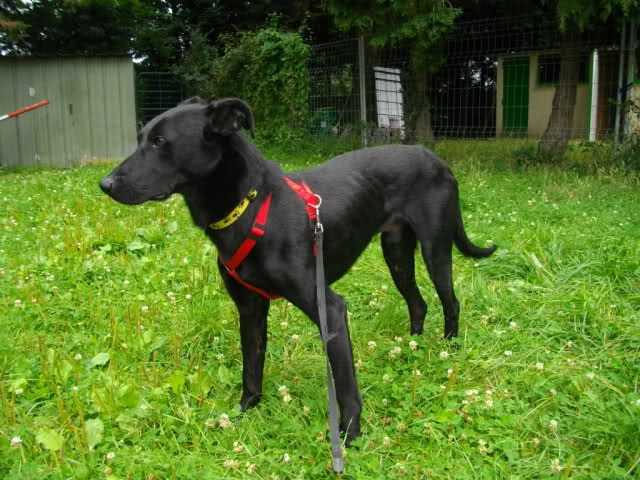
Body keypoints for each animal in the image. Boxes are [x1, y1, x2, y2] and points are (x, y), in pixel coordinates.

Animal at [100, 96, 498, 442]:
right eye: (141, 138)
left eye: (159, 142)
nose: (105, 184)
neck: (252, 207)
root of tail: (436, 158)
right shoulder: (250, 309)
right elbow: (251, 371)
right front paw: (243, 415)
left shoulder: (329, 309)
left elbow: (346, 388)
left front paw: (349, 438)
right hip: (397, 254)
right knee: (418, 303)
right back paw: (411, 348)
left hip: (434, 249)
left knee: (450, 301)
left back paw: (447, 349)